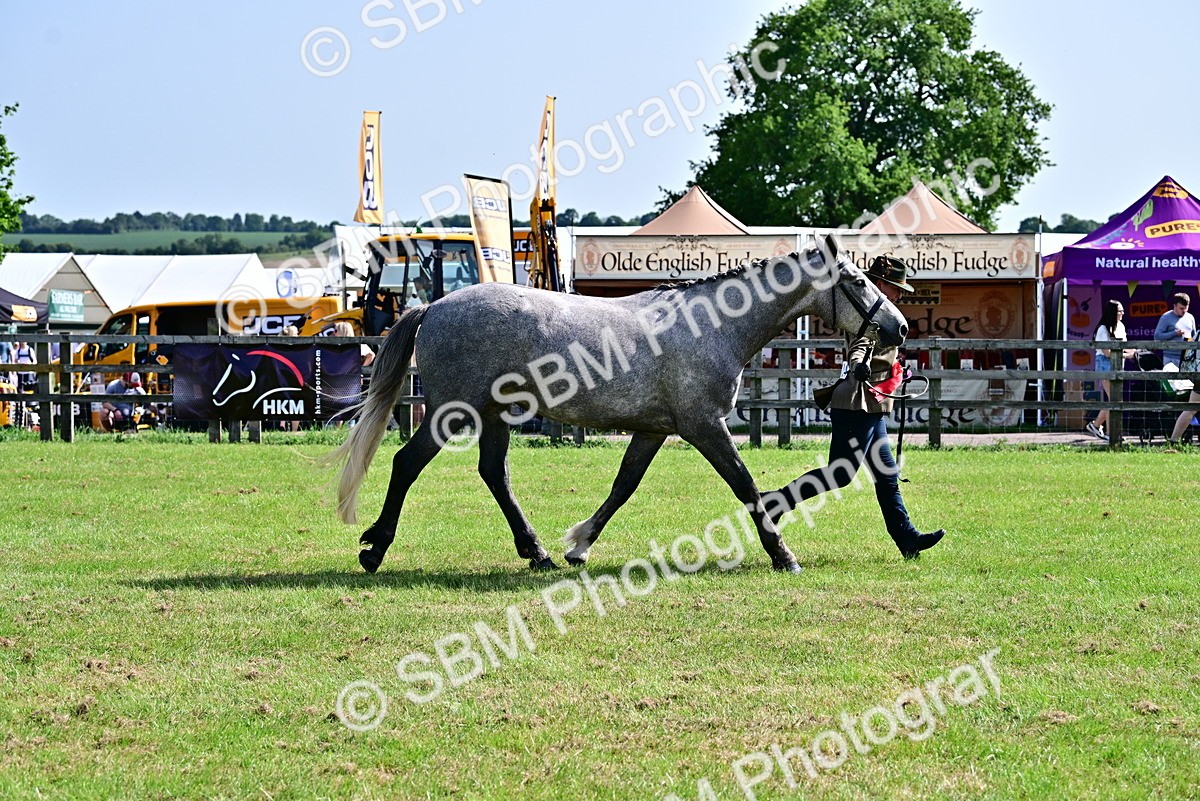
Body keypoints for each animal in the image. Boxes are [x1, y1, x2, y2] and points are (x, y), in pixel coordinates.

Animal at [329, 236, 908, 574]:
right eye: (856, 281)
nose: (899, 328)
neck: (712, 325)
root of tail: (435, 306)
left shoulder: (654, 430)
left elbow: (622, 487)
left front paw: (578, 546)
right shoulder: (704, 426)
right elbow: (744, 485)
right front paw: (782, 553)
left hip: (494, 416)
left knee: (494, 474)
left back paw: (537, 553)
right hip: (453, 413)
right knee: (406, 463)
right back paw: (374, 549)